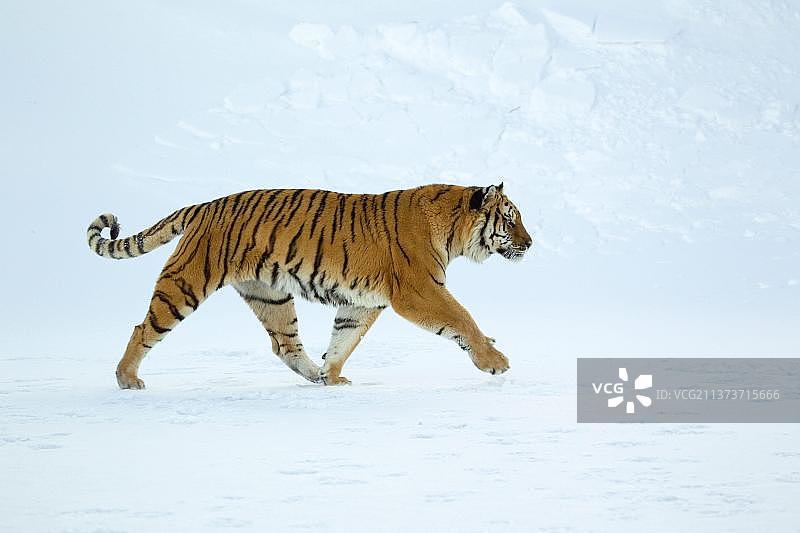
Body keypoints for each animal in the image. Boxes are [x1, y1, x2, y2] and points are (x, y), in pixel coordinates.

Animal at [86, 182, 532, 389]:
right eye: (510, 219)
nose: (529, 243)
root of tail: (203, 206)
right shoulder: (418, 289)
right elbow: (463, 318)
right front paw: (495, 361)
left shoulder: (362, 302)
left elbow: (344, 339)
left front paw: (332, 376)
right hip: (185, 283)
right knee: (143, 328)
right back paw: (127, 379)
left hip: (269, 295)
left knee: (284, 344)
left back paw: (314, 375)